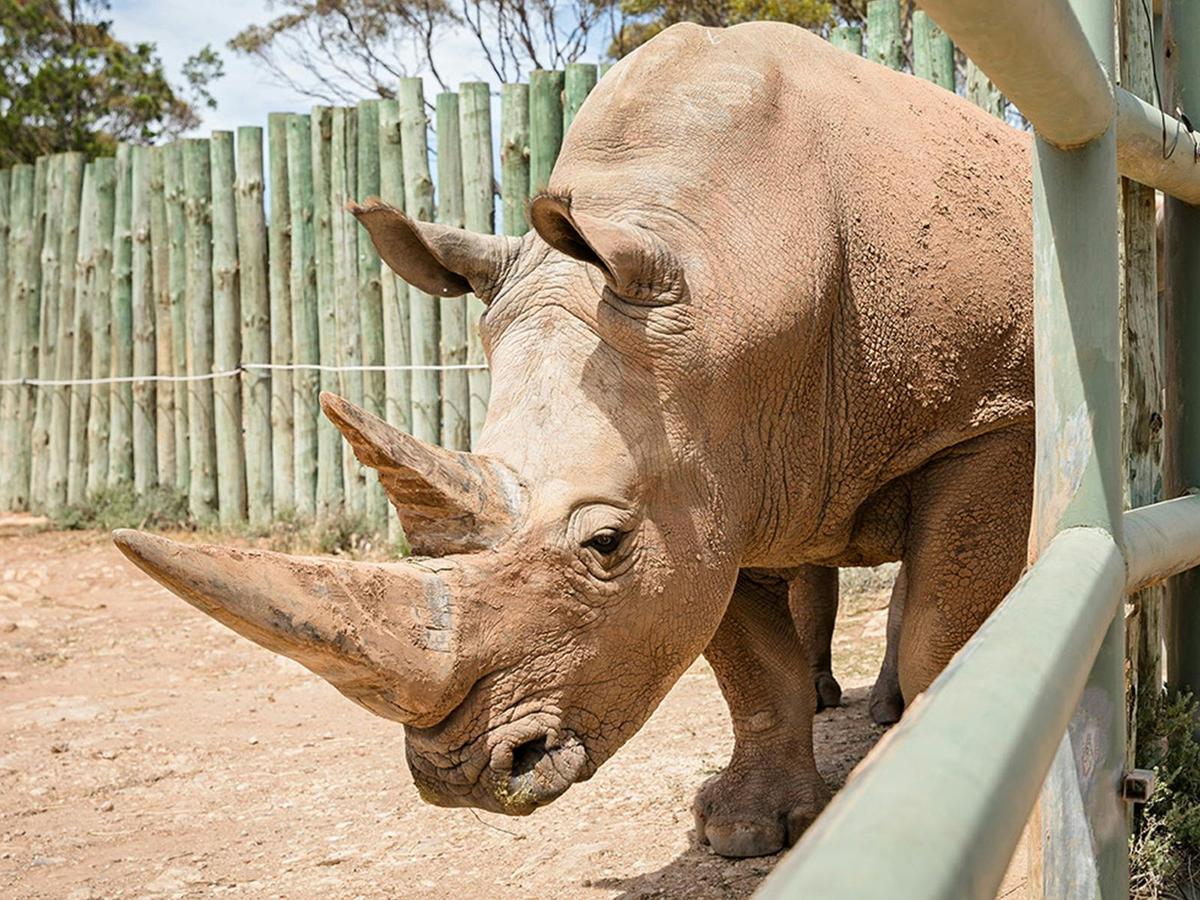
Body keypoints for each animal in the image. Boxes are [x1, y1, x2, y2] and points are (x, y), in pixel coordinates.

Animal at [113, 21, 1033, 859]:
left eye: (605, 542)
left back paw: (886, 712)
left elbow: (945, 622)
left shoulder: (989, 419)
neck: (729, 278)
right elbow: (747, 662)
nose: (463, 776)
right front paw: (744, 832)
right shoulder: (710, 469)